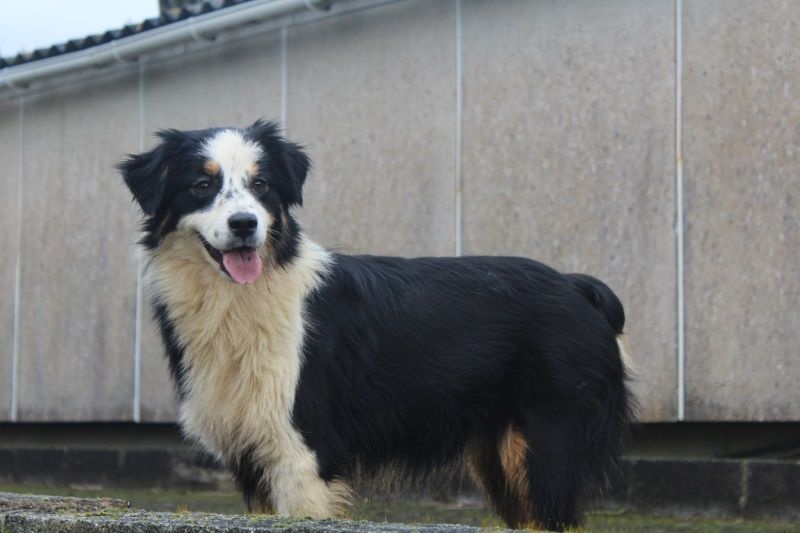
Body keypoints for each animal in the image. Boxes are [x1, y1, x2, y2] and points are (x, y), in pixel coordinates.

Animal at [118, 120, 635, 531]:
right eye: (201, 186)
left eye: (261, 184)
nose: (245, 225)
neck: (240, 296)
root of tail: (578, 286)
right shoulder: (255, 454)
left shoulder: (303, 451)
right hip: (503, 457)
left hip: (547, 446)